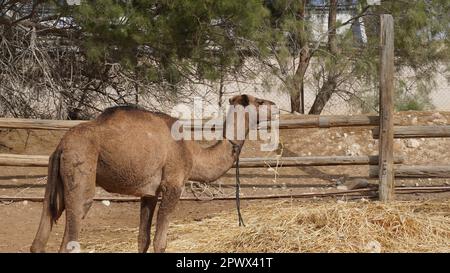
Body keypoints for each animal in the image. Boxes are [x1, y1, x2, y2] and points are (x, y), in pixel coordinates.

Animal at [29, 94, 276, 253]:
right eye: (259, 101)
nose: (275, 107)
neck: (192, 153)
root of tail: (61, 146)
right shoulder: (173, 185)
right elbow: (160, 242)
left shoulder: (149, 193)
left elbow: (143, 239)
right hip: (80, 176)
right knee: (69, 242)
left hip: (55, 181)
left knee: (39, 241)